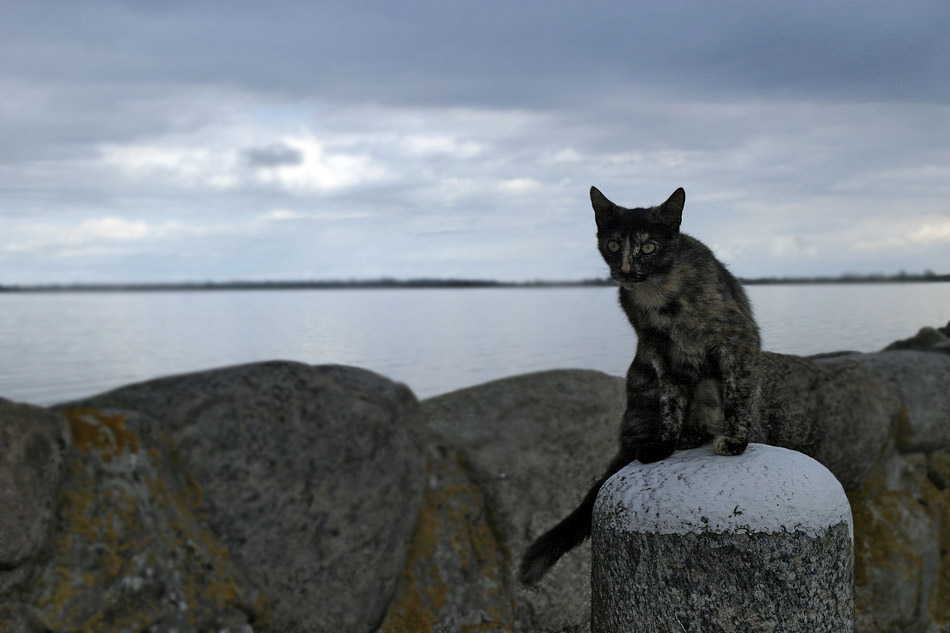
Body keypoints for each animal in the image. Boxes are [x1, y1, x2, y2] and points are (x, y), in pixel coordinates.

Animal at [516, 185, 764, 584]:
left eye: (648, 247)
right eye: (614, 244)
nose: (627, 270)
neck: (662, 298)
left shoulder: (737, 339)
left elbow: (737, 393)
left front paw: (737, 440)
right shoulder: (661, 354)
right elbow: (671, 403)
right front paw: (665, 444)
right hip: (647, 386)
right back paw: (683, 437)